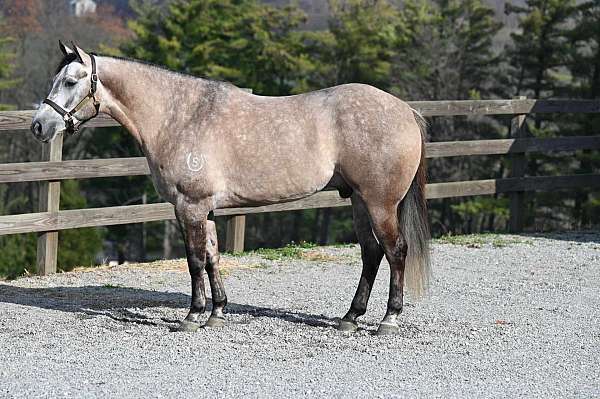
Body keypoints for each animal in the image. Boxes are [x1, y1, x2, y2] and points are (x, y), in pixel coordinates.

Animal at [31, 43, 432, 334]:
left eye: (71, 81)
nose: (39, 125)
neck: (179, 116)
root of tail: (405, 111)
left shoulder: (189, 206)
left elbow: (194, 260)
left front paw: (193, 316)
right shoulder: (203, 207)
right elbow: (212, 257)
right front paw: (217, 311)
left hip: (380, 203)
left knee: (396, 251)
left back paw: (388, 319)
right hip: (359, 201)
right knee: (371, 253)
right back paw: (349, 317)